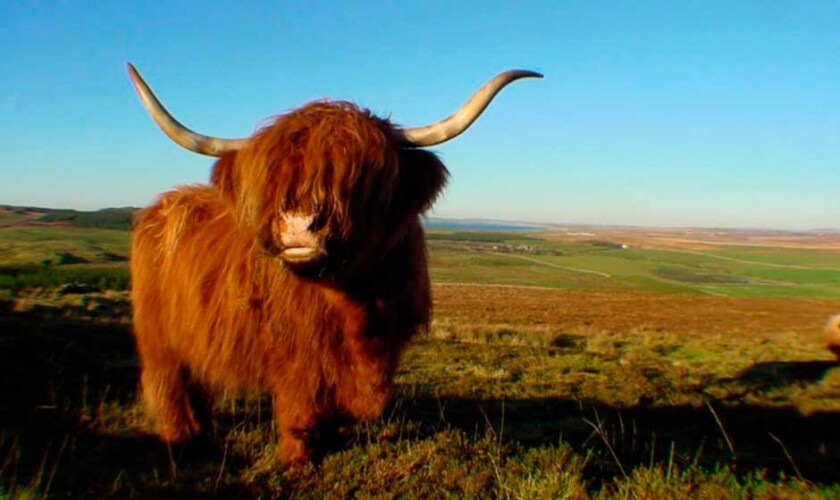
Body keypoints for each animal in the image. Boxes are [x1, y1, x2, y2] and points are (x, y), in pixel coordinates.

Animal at [127, 63, 541, 464]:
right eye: (273, 181)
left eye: (362, 177)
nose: (297, 225)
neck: (359, 304)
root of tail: (163, 205)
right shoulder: (294, 353)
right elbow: (299, 406)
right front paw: (296, 458)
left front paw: (334, 437)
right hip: (158, 338)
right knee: (169, 385)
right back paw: (183, 441)